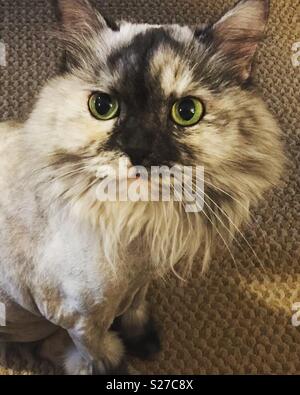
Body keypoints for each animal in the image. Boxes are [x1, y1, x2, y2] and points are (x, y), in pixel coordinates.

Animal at [0, 0, 284, 376]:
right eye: (102, 107)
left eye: (187, 112)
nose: (138, 151)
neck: (137, 229)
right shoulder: (78, 320)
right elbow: (100, 355)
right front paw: (120, 363)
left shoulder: (139, 284)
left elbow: (135, 308)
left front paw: (144, 341)